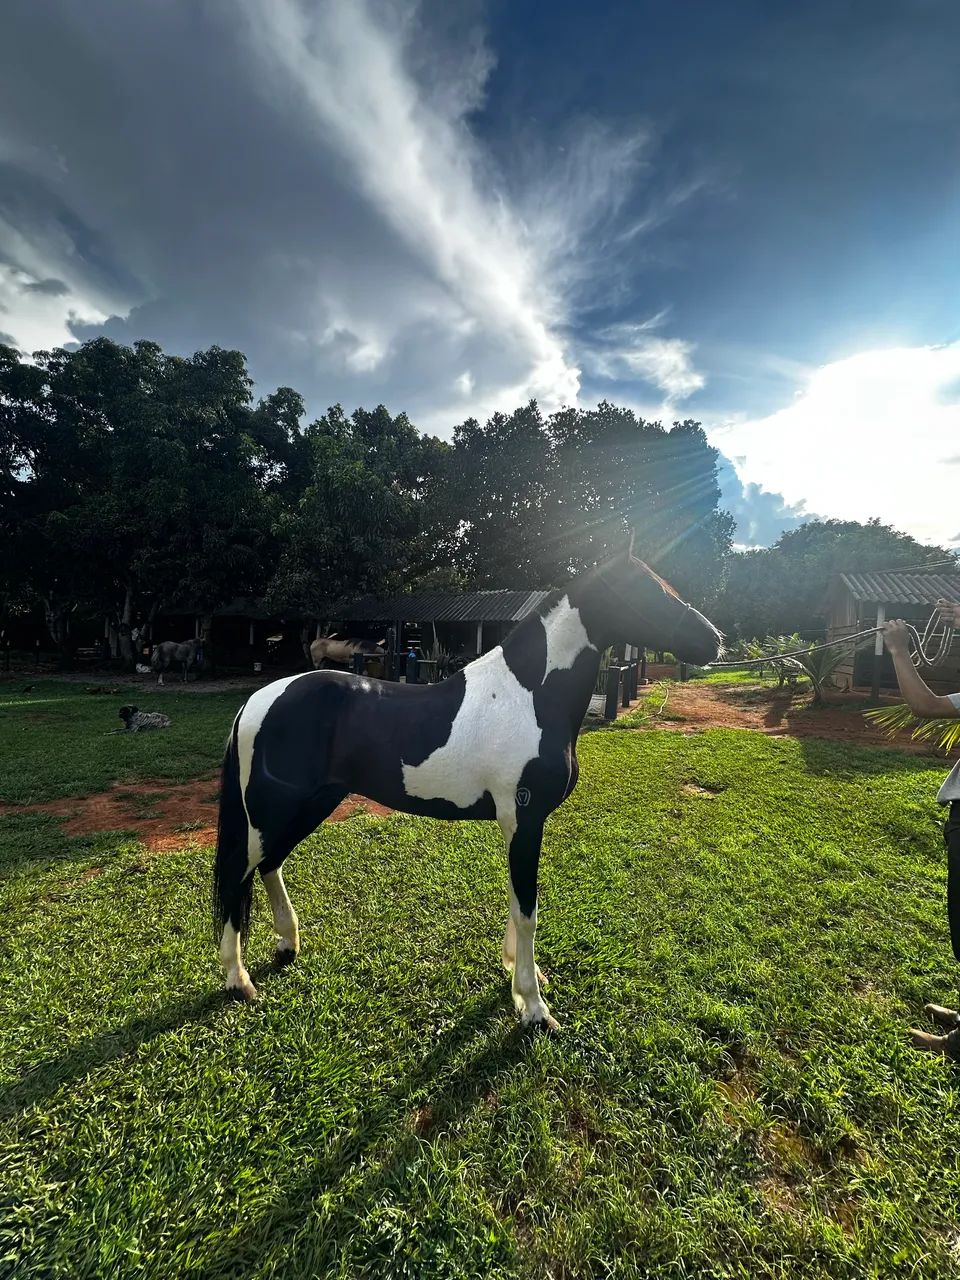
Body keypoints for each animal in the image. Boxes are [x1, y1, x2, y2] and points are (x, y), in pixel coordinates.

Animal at [213, 545, 723, 1028]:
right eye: (648, 588)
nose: (714, 640)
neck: (529, 696)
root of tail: (256, 701)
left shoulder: (520, 824)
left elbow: (517, 901)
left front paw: (519, 973)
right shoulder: (523, 818)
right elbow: (528, 909)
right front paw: (533, 1009)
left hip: (309, 805)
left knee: (269, 866)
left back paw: (287, 945)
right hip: (274, 810)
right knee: (238, 874)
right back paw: (240, 980)